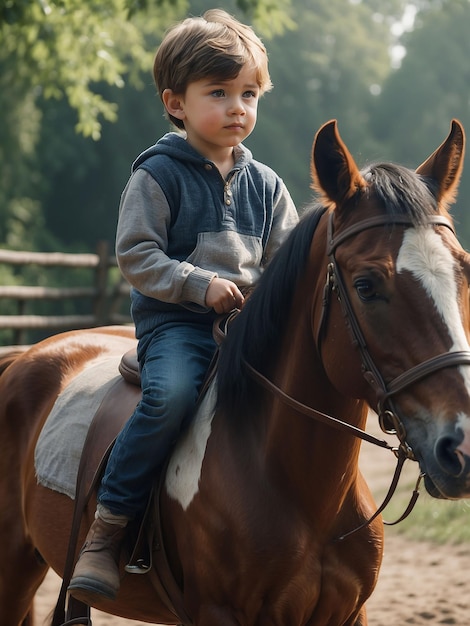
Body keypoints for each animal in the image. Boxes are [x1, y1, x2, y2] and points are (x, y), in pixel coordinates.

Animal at [0, 118, 470, 624]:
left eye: (463, 272)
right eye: (365, 285)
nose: (460, 446)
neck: (301, 494)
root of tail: (24, 356)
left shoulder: (349, 613)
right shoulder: (218, 611)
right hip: (13, 571)